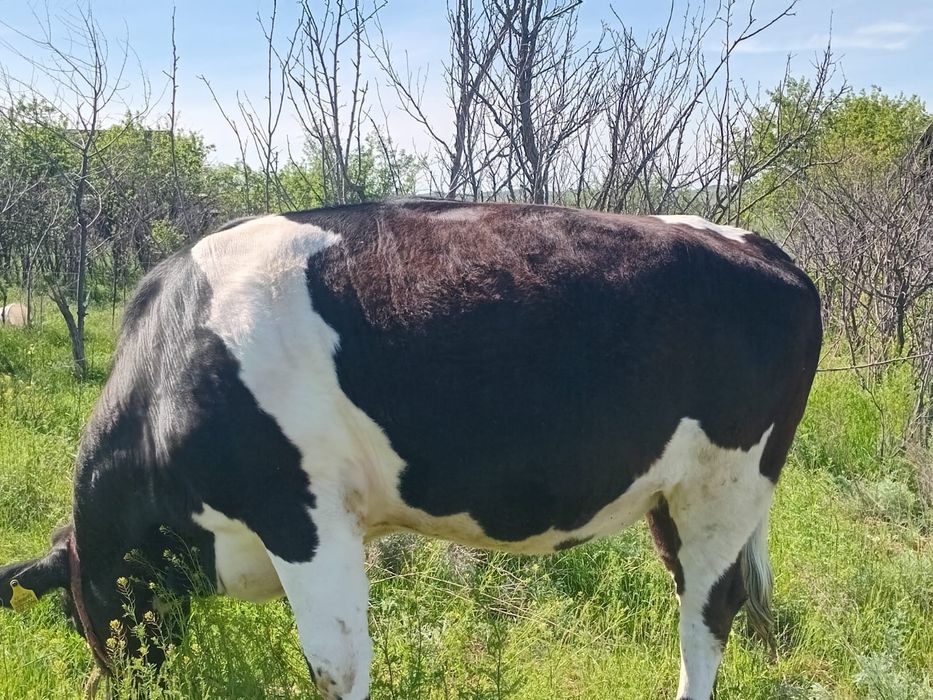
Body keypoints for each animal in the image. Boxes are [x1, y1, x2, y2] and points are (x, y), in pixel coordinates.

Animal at [0, 199, 822, 700]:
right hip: (669, 496)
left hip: (726, 487)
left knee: (709, 613)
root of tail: (760, 247)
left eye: (76, 612)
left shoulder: (302, 515)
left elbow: (336, 665)